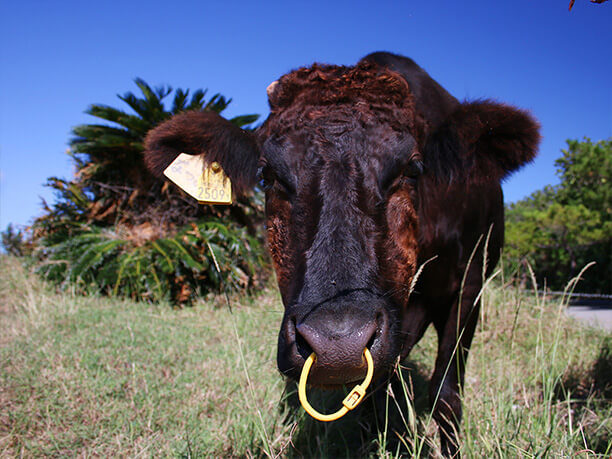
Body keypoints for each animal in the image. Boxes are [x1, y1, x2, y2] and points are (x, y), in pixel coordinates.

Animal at [143, 53, 540, 456]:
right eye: (267, 175)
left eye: (412, 167)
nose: (338, 344)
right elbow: (379, 397)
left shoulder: (471, 283)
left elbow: (445, 392)